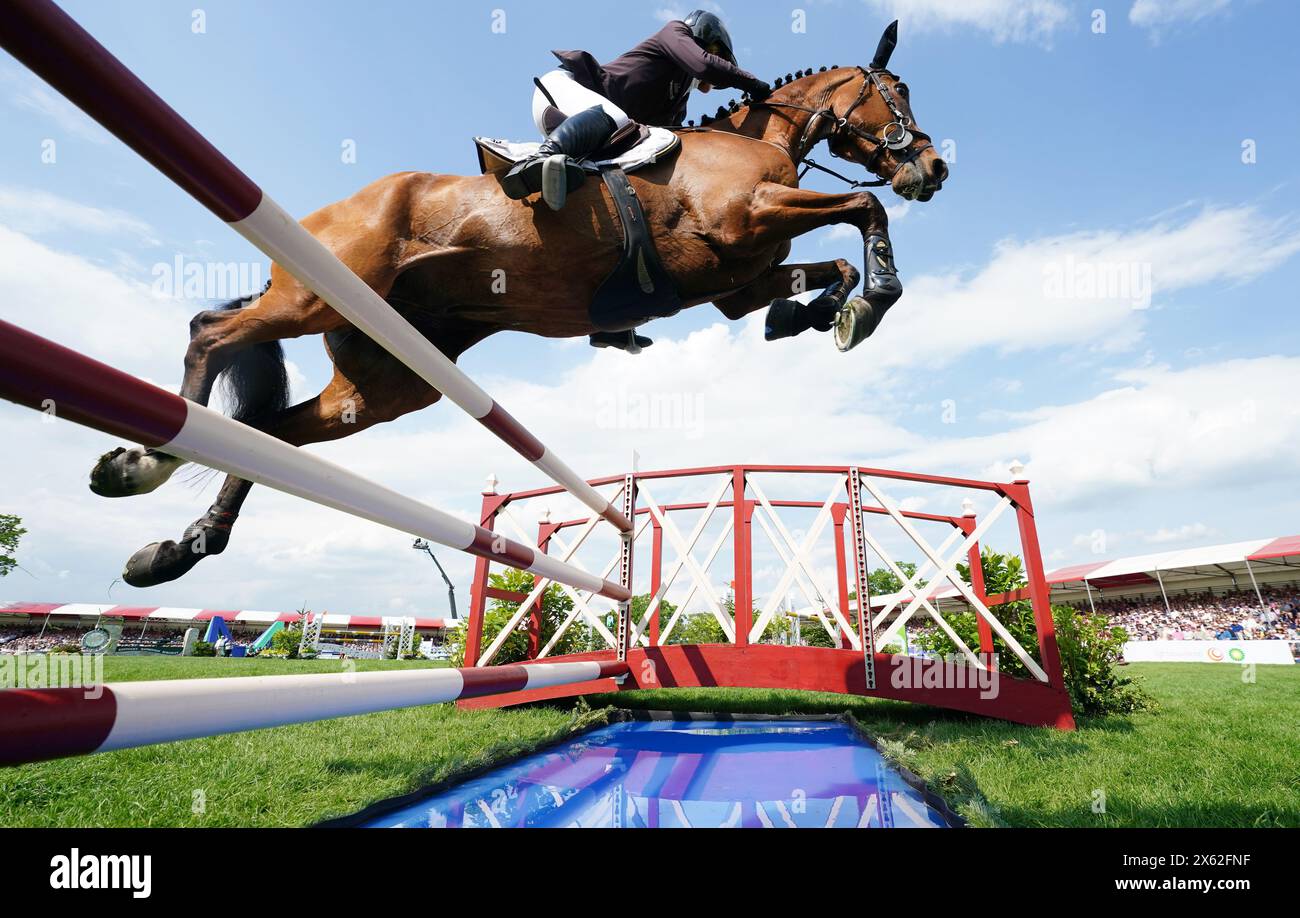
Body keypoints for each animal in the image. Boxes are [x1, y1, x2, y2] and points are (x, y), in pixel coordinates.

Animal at [91, 23, 946, 587]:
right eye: (897, 92)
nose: (933, 167)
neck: (756, 143)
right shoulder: (747, 219)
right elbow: (863, 210)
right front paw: (874, 302)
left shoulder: (738, 281)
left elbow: (829, 263)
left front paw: (824, 315)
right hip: (315, 295)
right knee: (210, 333)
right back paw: (143, 462)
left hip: (385, 381)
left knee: (271, 434)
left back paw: (179, 548)